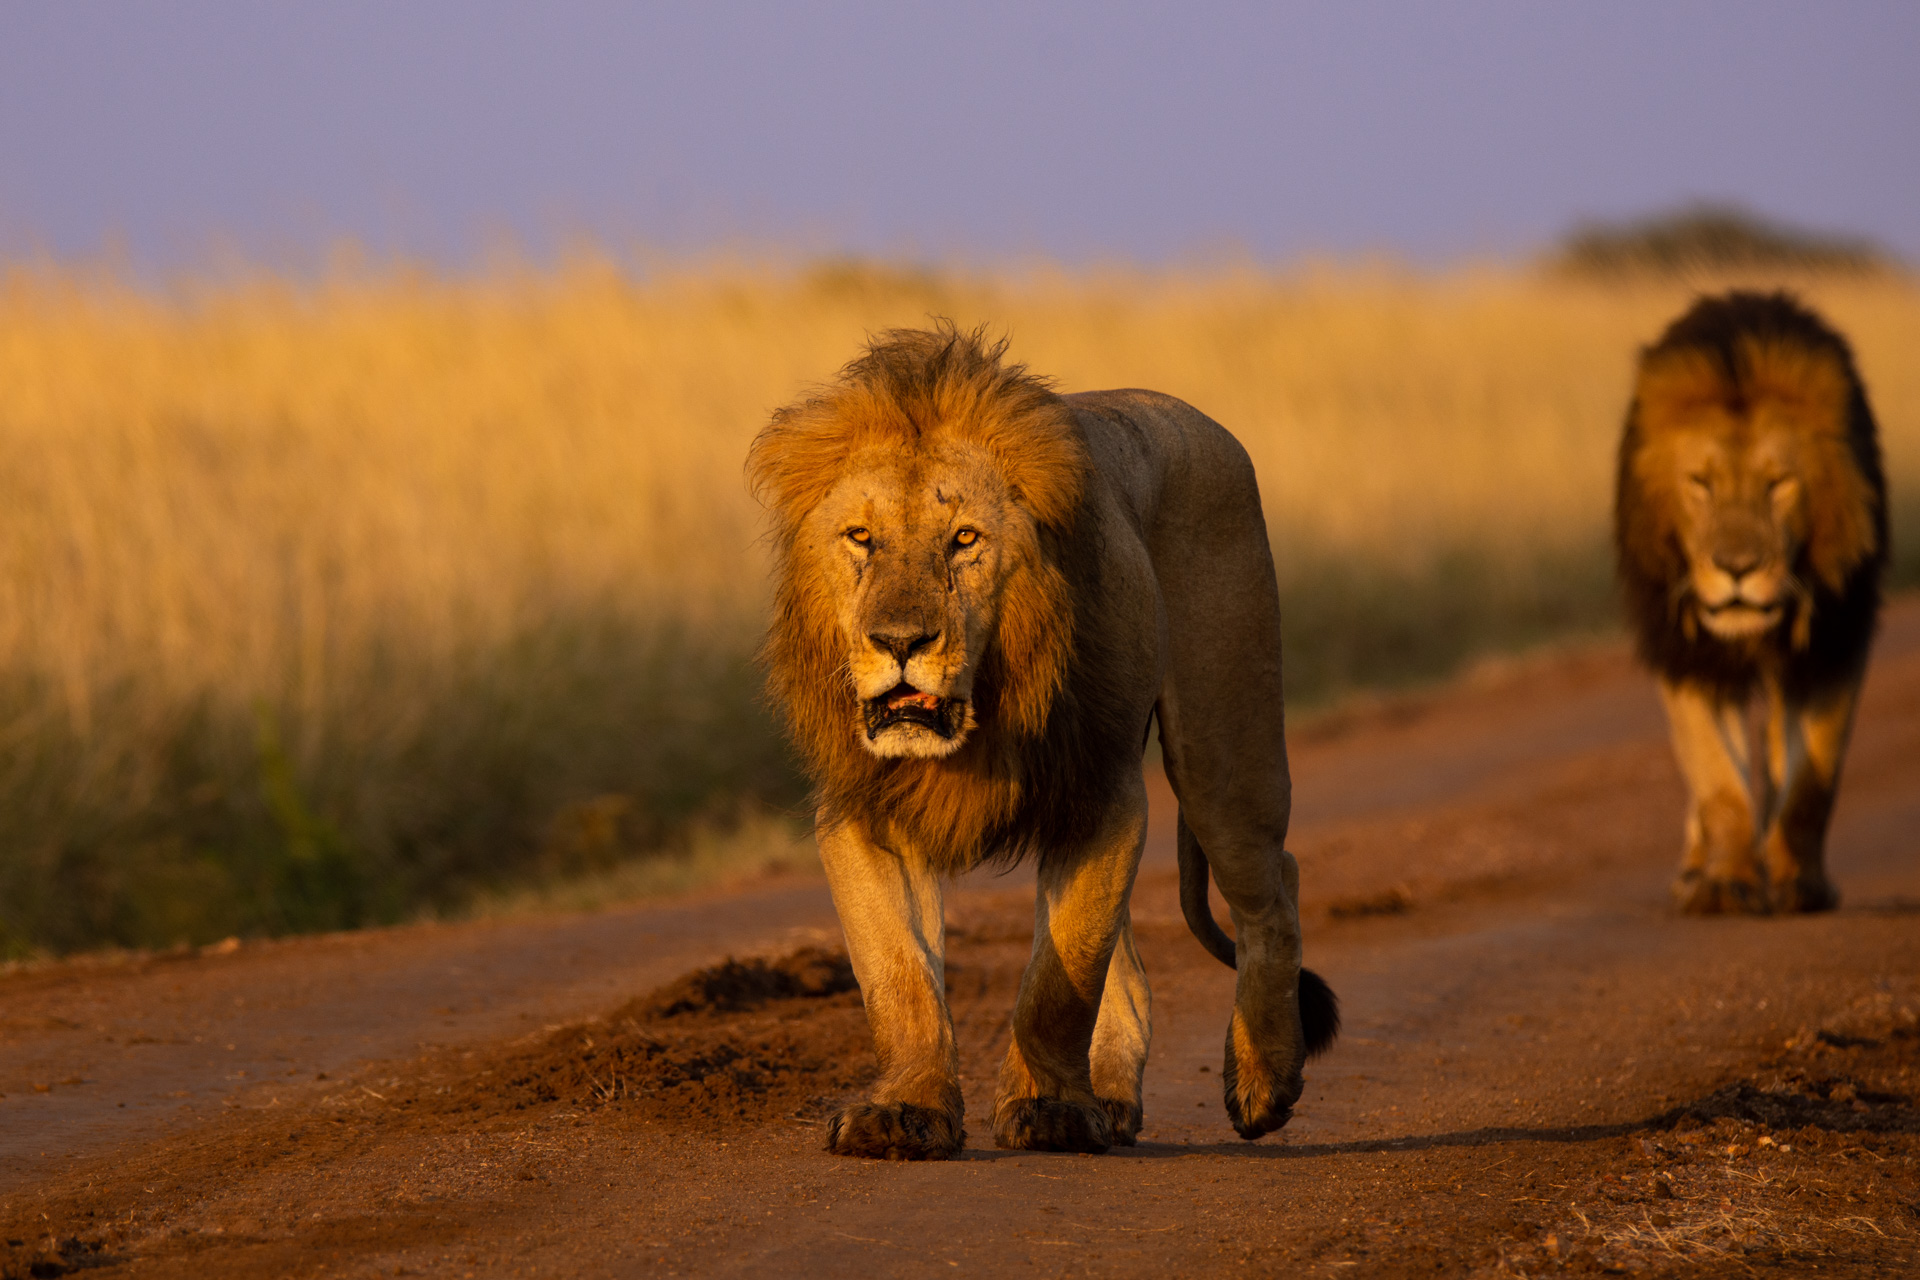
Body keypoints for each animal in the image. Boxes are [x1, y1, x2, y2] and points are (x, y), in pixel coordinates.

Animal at [744, 322, 1336, 1159]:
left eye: (964, 541)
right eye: (861, 537)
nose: (899, 640)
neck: (979, 717)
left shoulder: (1103, 794)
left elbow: (1061, 979)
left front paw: (1049, 1109)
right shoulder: (860, 812)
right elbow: (898, 978)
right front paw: (906, 1110)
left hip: (1226, 749)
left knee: (1272, 886)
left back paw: (1263, 1083)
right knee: (1135, 964)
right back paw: (1113, 1099)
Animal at [1612, 293, 1881, 909]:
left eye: (1779, 483)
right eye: (1700, 483)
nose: (1737, 569)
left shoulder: (1833, 647)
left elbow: (1811, 782)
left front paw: (1800, 884)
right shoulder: (1689, 656)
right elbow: (1718, 782)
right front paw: (1726, 883)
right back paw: (1696, 870)